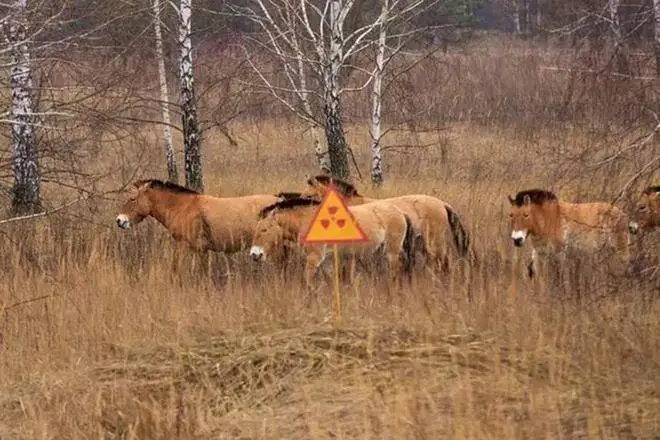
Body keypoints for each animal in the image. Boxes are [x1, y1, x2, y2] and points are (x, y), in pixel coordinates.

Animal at [248, 196, 412, 286]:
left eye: (264, 230)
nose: (254, 255)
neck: (308, 220)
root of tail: (400, 211)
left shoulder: (314, 258)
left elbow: (307, 282)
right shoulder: (326, 261)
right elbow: (330, 281)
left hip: (391, 250)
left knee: (394, 271)